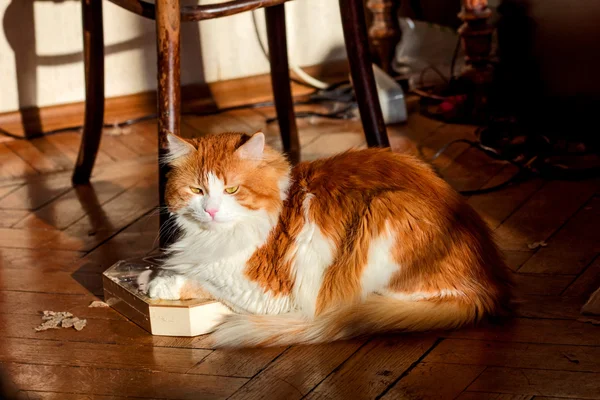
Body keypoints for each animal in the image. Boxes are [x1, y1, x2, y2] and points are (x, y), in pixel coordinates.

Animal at [145, 131, 510, 346]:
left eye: (232, 189)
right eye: (197, 190)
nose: (211, 210)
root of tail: (489, 287)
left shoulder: (262, 289)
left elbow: (202, 276)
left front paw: (160, 283)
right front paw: (149, 274)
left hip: (383, 212)